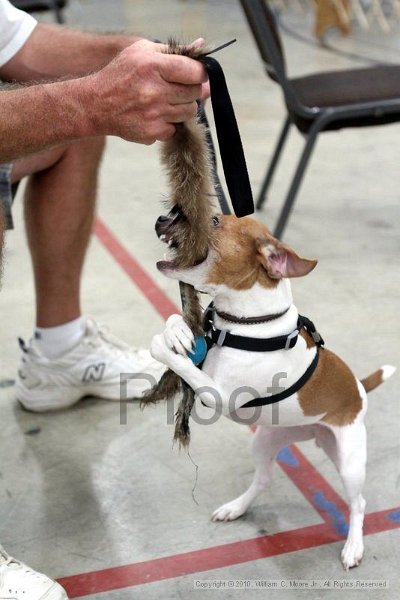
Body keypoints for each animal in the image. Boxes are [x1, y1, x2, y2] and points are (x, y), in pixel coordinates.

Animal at [149, 213, 394, 568]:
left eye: (214, 220)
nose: (162, 218)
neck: (243, 325)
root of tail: (359, 388)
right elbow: (173, 324)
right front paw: (177, 333)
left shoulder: (218, 396)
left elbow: (178, 362)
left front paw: (163, 347)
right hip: (266, 440)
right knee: (263, 479)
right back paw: (235, 508)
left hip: (349, 463)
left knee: (358, 503)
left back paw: (353, 546)